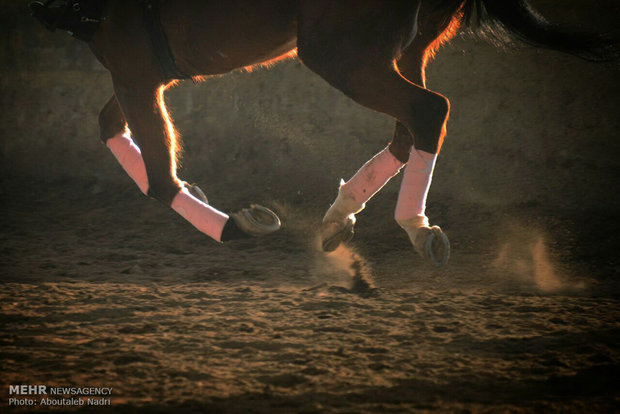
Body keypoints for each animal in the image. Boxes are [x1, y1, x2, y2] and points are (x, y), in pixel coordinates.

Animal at [31, 0, 616, 266]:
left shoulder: (134, 71)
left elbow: (157, 179)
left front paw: (238, 226)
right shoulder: (140, 73)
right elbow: (111, 129)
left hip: (340, 55)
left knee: (426, 113)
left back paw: (415, 227)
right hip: (399, 49)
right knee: (410, 129)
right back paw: (342, 215)